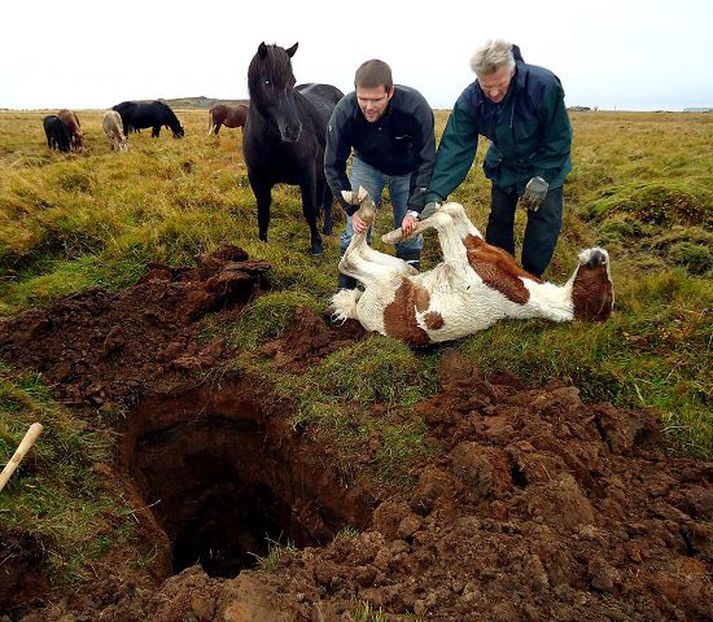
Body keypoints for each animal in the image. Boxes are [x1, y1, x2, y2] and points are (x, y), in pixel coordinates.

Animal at [242, 42, 344, 256]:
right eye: (266, 81)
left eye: (293, 80)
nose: (294, 129)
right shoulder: (256, 178)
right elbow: (263, 210)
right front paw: (262, 243)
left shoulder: (306, 173)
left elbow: (309, 208)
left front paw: (316, 245)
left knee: (328, 197)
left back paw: (327, 227)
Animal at [328, 188, 612, 348]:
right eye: (607, 284)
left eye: (606, 292)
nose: (600, 255)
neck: (526, 291)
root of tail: (358, 312)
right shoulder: (476, 246)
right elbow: (454, 210)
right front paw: (402, 230)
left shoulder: (460, 269)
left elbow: (444, 219)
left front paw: (400, 230)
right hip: (404, 271)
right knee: (363, 253)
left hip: (387, 279)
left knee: (348, 260)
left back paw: (364, 207)